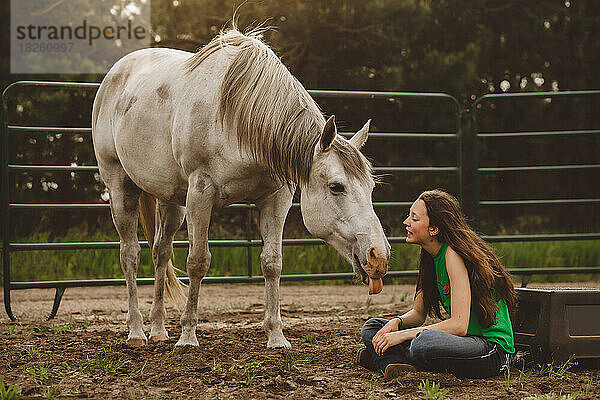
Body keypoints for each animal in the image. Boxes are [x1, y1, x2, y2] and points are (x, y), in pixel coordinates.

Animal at [89, 27, 390, 346]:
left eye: (371, 188)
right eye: (336, 187)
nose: (378, 255)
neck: (236, 119)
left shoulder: (276, 198)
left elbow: (272, 263)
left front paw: (276, 337)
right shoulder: (201, 193)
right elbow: (198, 261)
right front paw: (188, 336)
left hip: (170, 199)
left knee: (161, 252)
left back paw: (158, 330)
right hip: (120, 186)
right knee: (130, 254)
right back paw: (136, 332)